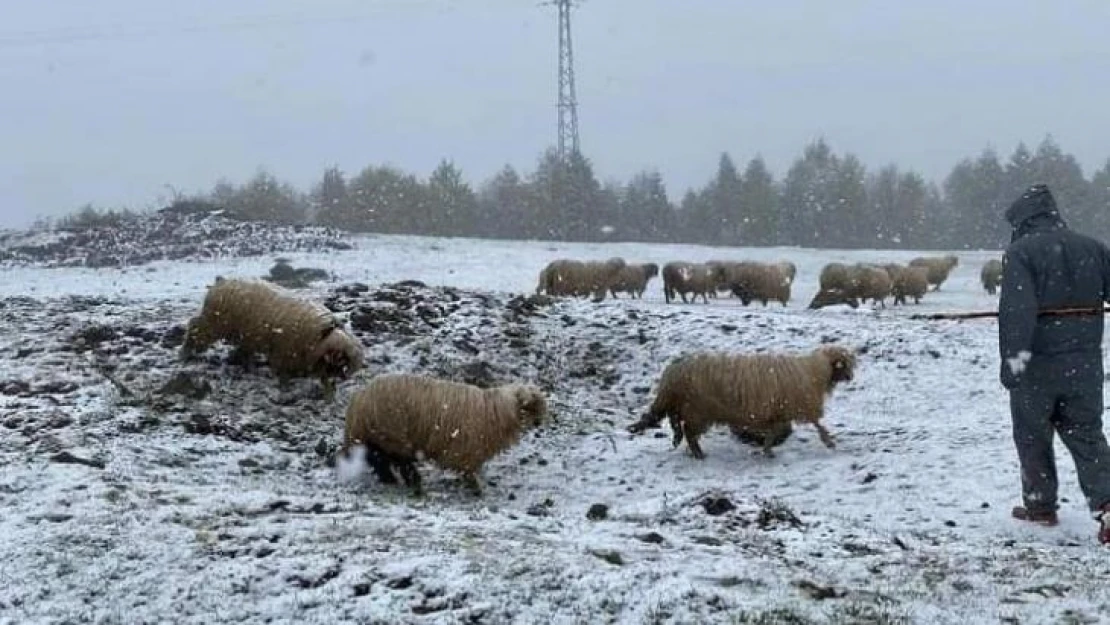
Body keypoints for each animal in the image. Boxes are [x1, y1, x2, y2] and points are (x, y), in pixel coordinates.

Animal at [182, 276, 361, 399]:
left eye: (346, 361)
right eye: (338, 357)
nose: (342, 376)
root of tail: (221, 281)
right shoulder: (284, 355)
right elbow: (283, 375)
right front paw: (285, 389)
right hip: (214, 323)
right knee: (195, 328)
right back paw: (186, 352)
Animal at [337, 370, 546, 499]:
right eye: (530, 405)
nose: (538, 423)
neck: (497, 411)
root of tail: (358, 399)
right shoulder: (467, 448)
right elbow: (469, 469)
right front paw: (476, 486)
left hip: (380, 435)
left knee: (377, 457)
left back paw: (392, 479)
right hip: (390, 432)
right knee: (391, 459)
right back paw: (409, 480)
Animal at [630, 341, 852, 459]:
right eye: (844, 364)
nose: (851, 377)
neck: (815, 371)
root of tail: (674, 372)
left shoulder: (778, 411)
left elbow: (776, 432)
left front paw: (767, 450)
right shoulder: (797, 405)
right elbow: (816, 423)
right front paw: (829, 441)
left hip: (690, 409)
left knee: (683, 430)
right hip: (698, 410)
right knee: (689, 433)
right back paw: (699, 455)